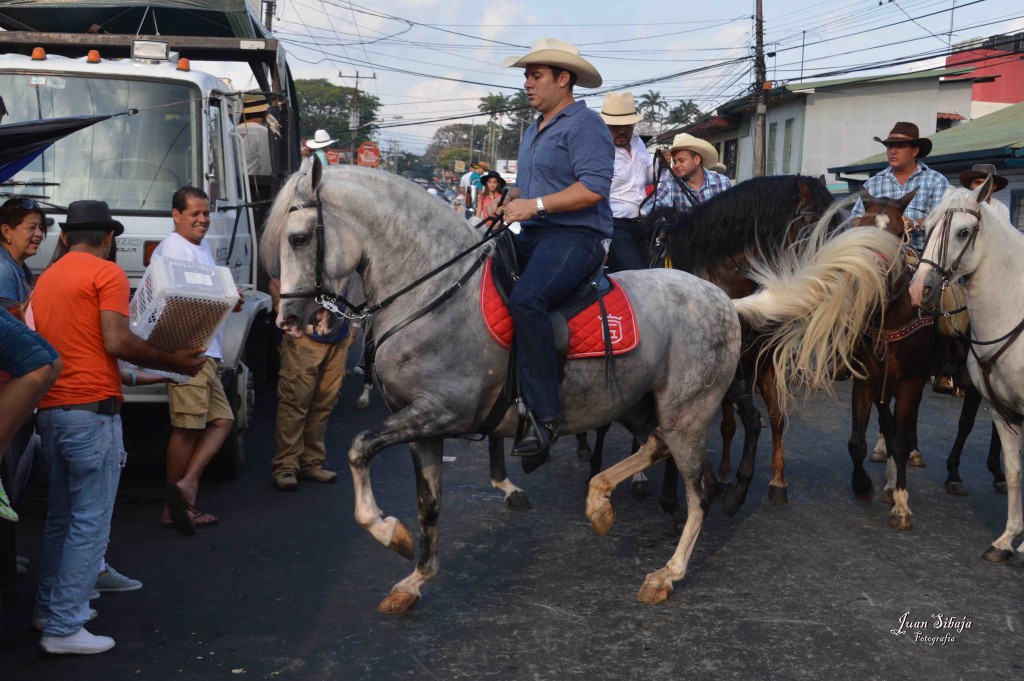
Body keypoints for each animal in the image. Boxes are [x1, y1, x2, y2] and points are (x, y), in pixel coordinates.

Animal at [266, 159, 905, 610]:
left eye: (297, 238)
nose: (290, 320)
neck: (437, 294)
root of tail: (726, 300)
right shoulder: (421, 425)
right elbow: (427, 503)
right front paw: (414, 574)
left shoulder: (440, 412)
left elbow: (357, 449)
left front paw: (387, 533)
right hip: (652, 403)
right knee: (656, 445)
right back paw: (601, 499)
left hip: (687, 410)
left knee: (699, 484)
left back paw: (667, 570)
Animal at [913, 178, 1024, 565]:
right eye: (927, 228)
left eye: (963, 232)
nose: (920, 288)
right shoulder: (998, 406)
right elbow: (1014, 468)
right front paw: (1007, 540)